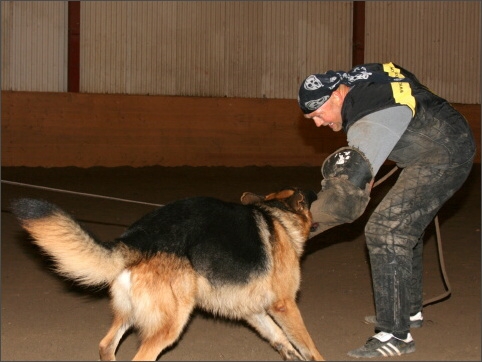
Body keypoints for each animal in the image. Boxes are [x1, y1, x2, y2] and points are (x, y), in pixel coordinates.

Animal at [10, 188, 324, 360]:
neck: (276, 214)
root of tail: (135, 240)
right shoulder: (284, 305)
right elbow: (308, 344)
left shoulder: (254, 311)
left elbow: (281, 338)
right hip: (171, 323)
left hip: (130, 314)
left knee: (105, 346)